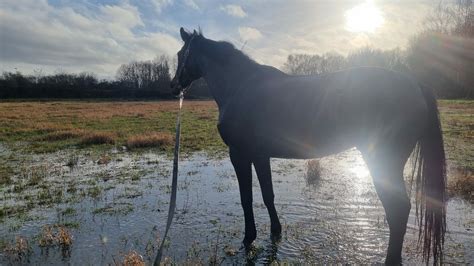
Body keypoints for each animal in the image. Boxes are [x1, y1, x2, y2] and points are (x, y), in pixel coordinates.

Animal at [171, 27, 448, 264]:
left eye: (181, 54)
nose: (173, 86)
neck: (239, 86)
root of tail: (415, 84)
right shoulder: (260, 155)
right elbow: (268, 195)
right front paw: (276, 231)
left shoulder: (240, 155)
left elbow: (246, 198)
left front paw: (249, 238)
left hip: (384, 162)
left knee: (398, 210)